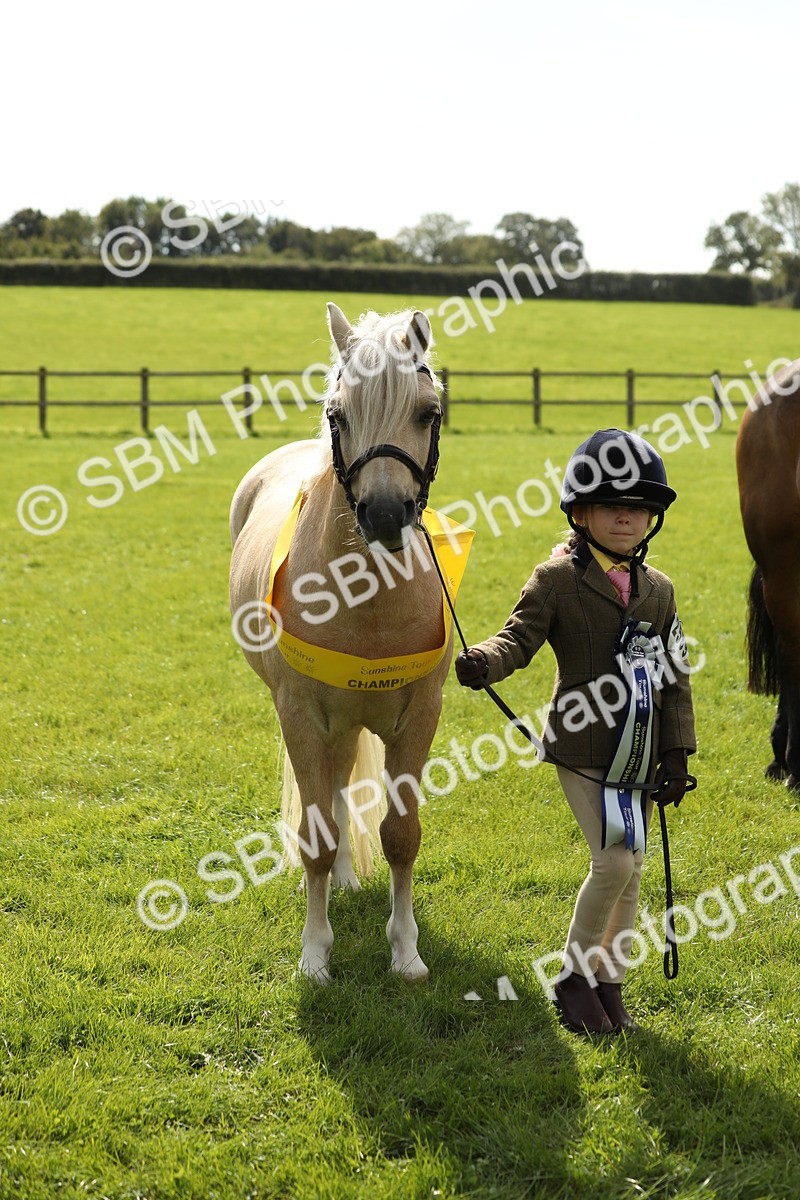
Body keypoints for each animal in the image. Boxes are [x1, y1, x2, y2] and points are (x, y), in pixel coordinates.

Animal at [229, 303, 458, 984]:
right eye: (338, 414)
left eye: (428, 411)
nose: (384, 515)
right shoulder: (301, 715)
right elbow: (318, 837)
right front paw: (315, 954)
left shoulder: (420, 717)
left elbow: (401, 834)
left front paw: (406, 953)